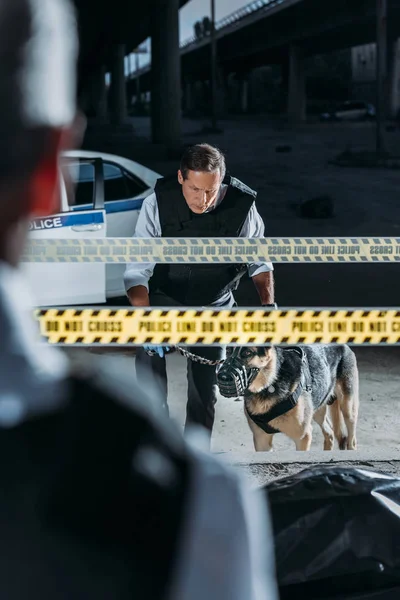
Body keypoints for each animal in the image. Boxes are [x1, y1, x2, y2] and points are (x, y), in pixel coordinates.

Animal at [217, 346, 360, 450]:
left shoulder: (303, 438)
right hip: (318, 409)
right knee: (329, 432)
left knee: (351, 439)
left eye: (247, 352)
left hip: (348, 409)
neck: (271, 383)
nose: (222, 377)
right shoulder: (261, 440)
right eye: (228, 351)